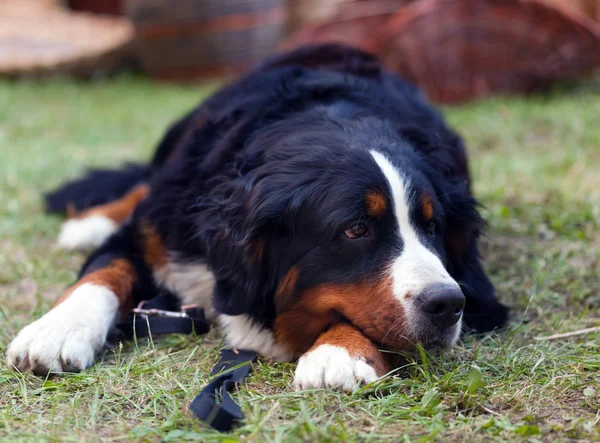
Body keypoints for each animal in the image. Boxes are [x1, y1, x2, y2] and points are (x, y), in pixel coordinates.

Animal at [7, 44, 508, 392]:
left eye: (433, 227)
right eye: (356, 230)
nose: (448, 304)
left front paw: (338, 352)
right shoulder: (153, 231)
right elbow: (104, 272)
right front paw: (56, 331)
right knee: (141, 184)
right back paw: (89, 221)